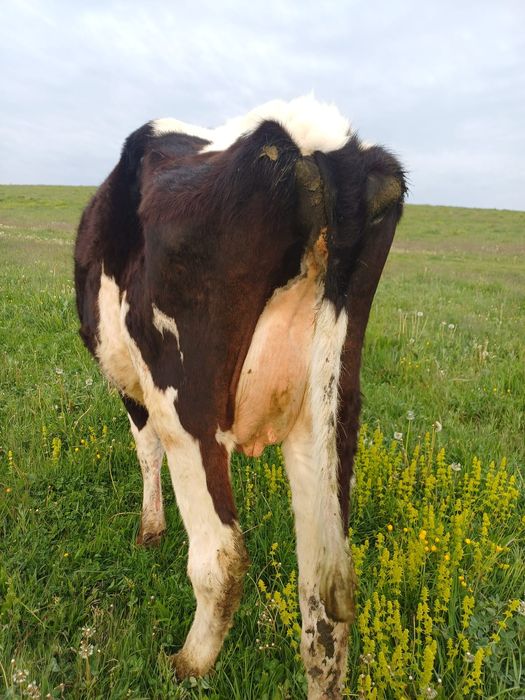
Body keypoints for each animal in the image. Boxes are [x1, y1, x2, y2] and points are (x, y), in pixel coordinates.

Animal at [74, 95, 406, 699]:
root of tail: (309, 141)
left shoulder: (132, 387)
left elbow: (145, 452)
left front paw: (150, 531)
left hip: (186, 404)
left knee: (222, 558)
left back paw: (187, 663)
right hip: (331, 409)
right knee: (324, 595)